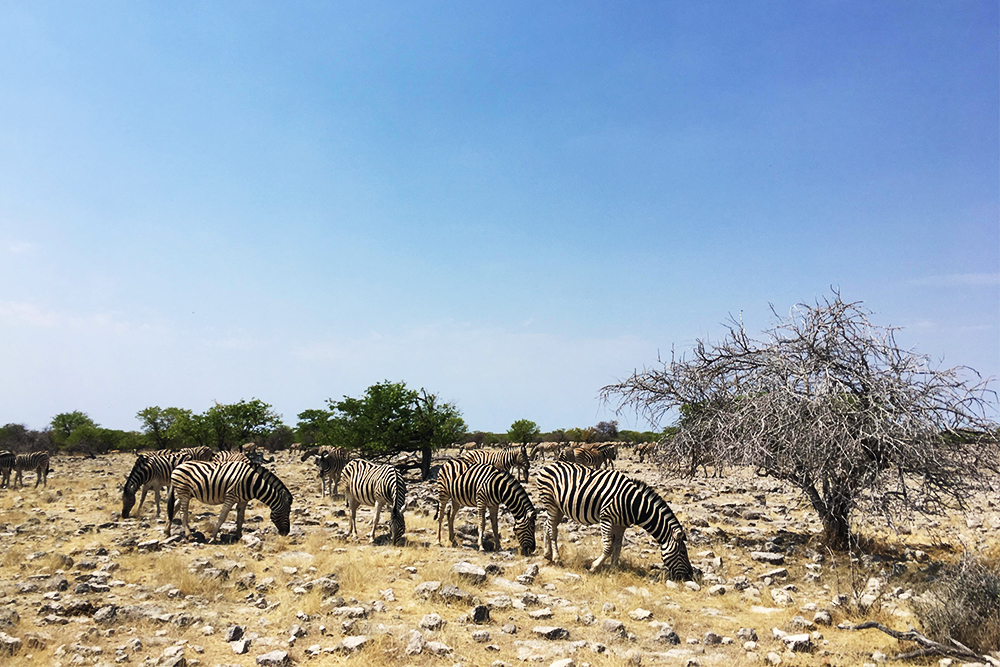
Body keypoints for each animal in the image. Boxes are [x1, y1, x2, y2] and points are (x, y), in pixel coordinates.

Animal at [540, 462, 696, 580]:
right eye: (683, 552)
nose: (690, 575)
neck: (633, 504)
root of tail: (550, 464)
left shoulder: (621, 525)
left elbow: (618, 546)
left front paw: (614, 568)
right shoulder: (606, 518)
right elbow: (609, 547)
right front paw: (594, 567)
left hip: (559, 507)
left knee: (547, 525)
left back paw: (547, 554)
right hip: (551, 503)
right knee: (552, 530)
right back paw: (557, 559)